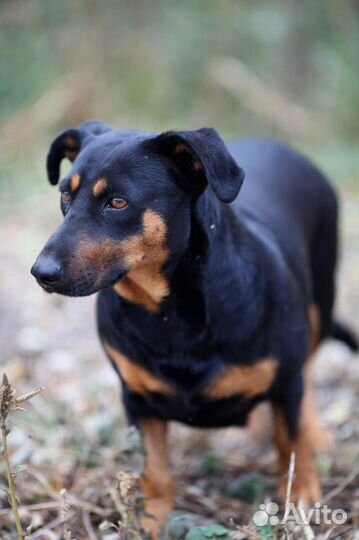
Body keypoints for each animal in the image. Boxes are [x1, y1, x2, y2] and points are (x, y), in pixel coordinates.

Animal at [31, 120, 358, 536]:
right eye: (65, 196)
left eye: (117, 202)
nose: (41, 273)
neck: (169, 312)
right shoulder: (137, 400)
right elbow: (154, 471)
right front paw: (150, 522)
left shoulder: (286, 382)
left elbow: (291, 442)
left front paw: (302, 498)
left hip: (321, 299)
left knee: (309, 375)